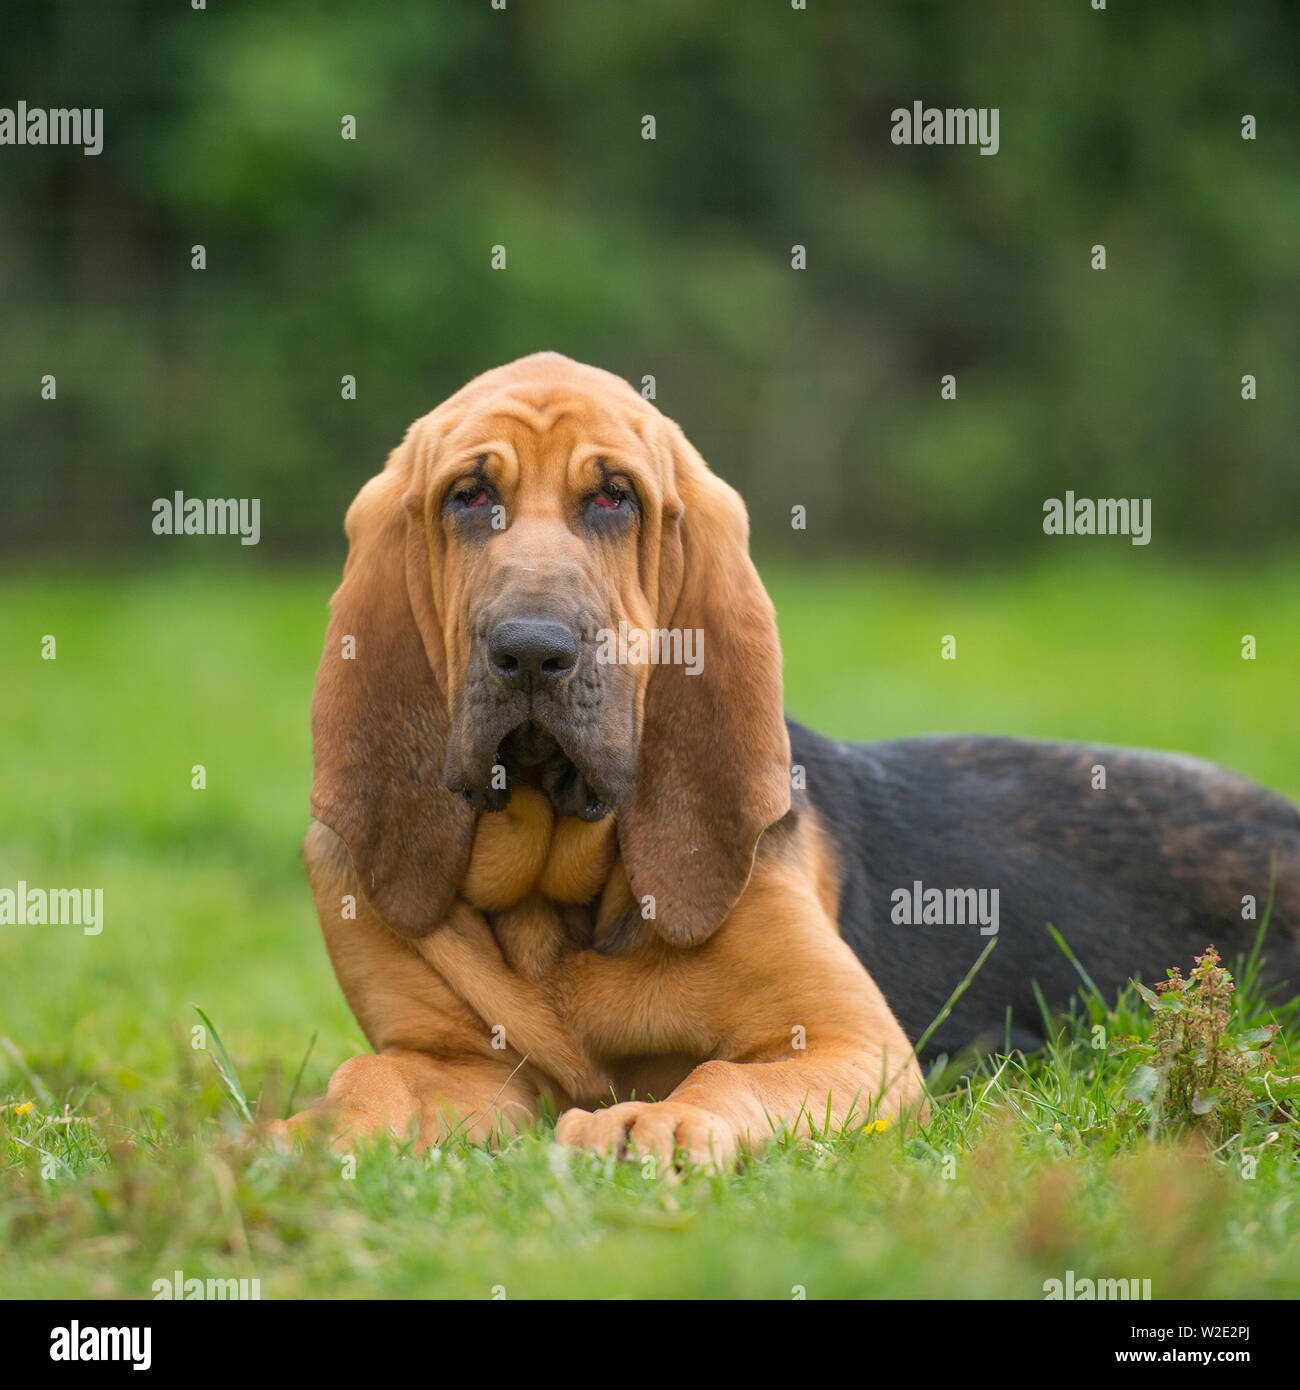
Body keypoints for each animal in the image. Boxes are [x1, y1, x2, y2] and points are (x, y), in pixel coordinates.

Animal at [282, 353, 1300, 1167]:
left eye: (614, 497)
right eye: (469, 497)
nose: (531, 652)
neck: (553, 901)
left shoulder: (849, 1043)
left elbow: (724, 1076)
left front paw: (650, 1123)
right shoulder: (453, 1062)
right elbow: (369, 1075)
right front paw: (290, 1139)